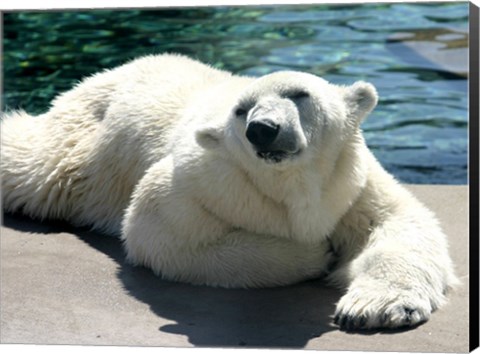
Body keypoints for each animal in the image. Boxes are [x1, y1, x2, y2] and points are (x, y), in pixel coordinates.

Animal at [0, 54, 458, 330]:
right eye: (241, 110)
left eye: (300, 94)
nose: (263, 128)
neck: (289, 183)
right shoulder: (207, 179)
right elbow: (161, 231)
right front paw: (315, 253)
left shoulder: (349, 185)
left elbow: (399, 223)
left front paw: (375, 309)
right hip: (81, 149)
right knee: (31, 162)